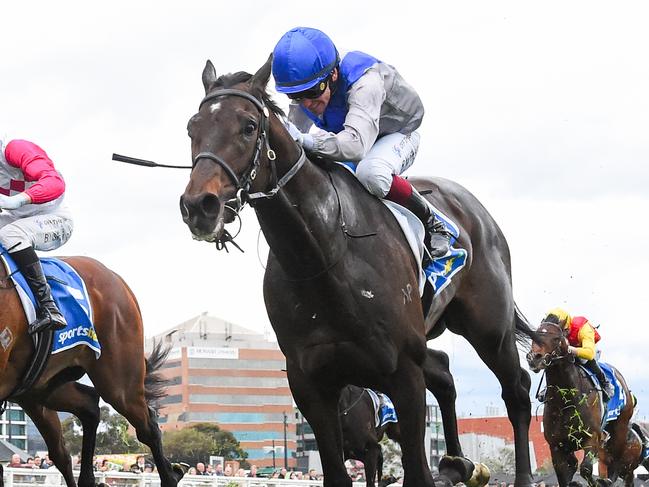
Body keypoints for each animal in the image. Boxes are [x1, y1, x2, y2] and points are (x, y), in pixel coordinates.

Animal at [0, 255, 185, 487]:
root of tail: (116, 278)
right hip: (37, 389)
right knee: (82, 416)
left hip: (118, 383)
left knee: (148, 428)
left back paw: (171, 476)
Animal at [180, 56, 536, 487]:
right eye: (192, 128)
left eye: (248, 126)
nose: (199, 206)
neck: (323, 255)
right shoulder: (311, 384)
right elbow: (337, 472)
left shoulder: (403, 372)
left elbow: (416, 470)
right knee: (444, 372)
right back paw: (456, 462)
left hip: (489, 327)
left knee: (516, 391)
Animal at [524, 322, 636, 486]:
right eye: (533, 335)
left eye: (556, 338)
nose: (534, 358)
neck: (565, 402)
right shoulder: (556, 445)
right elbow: (564, 475)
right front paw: (573, 481)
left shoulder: (592, 437)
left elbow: (586, 469)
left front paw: (596, 481)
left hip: (620, 429)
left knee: (616, 461)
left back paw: (607, 479)